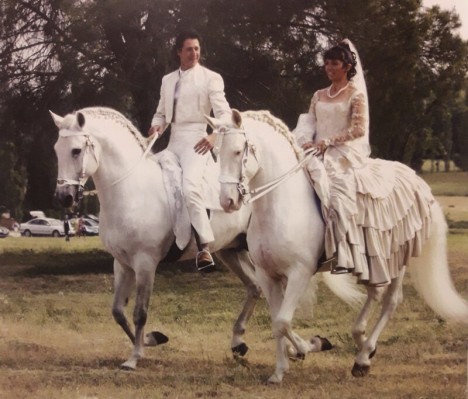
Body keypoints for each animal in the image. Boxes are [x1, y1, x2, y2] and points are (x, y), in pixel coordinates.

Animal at [51, 106, 360, 372]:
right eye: (57, 150)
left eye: (76, 150)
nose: (64, 197)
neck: (131, 188)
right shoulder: (122, 263)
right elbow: (117, 311)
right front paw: (152, 339)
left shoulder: (145, 263)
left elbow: (139, 312)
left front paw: (135, 357)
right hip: (232, 252)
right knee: (256, 289)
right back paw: (245, 344)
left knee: (268, 295)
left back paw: (301, 346)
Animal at [210, 109, 468, 384]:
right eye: (215, 152)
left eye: (238, 151)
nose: (227, 201)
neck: (280, 206)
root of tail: (417, 181)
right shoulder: (268, 275)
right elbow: (277, 323)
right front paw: (279, 371)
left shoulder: (300, 273)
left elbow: (283, 322)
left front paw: (311, 345)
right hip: (372, 263)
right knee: (375, 294)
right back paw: (364, 345)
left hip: (397, 260)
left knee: (390, 301)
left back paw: (363, 359)